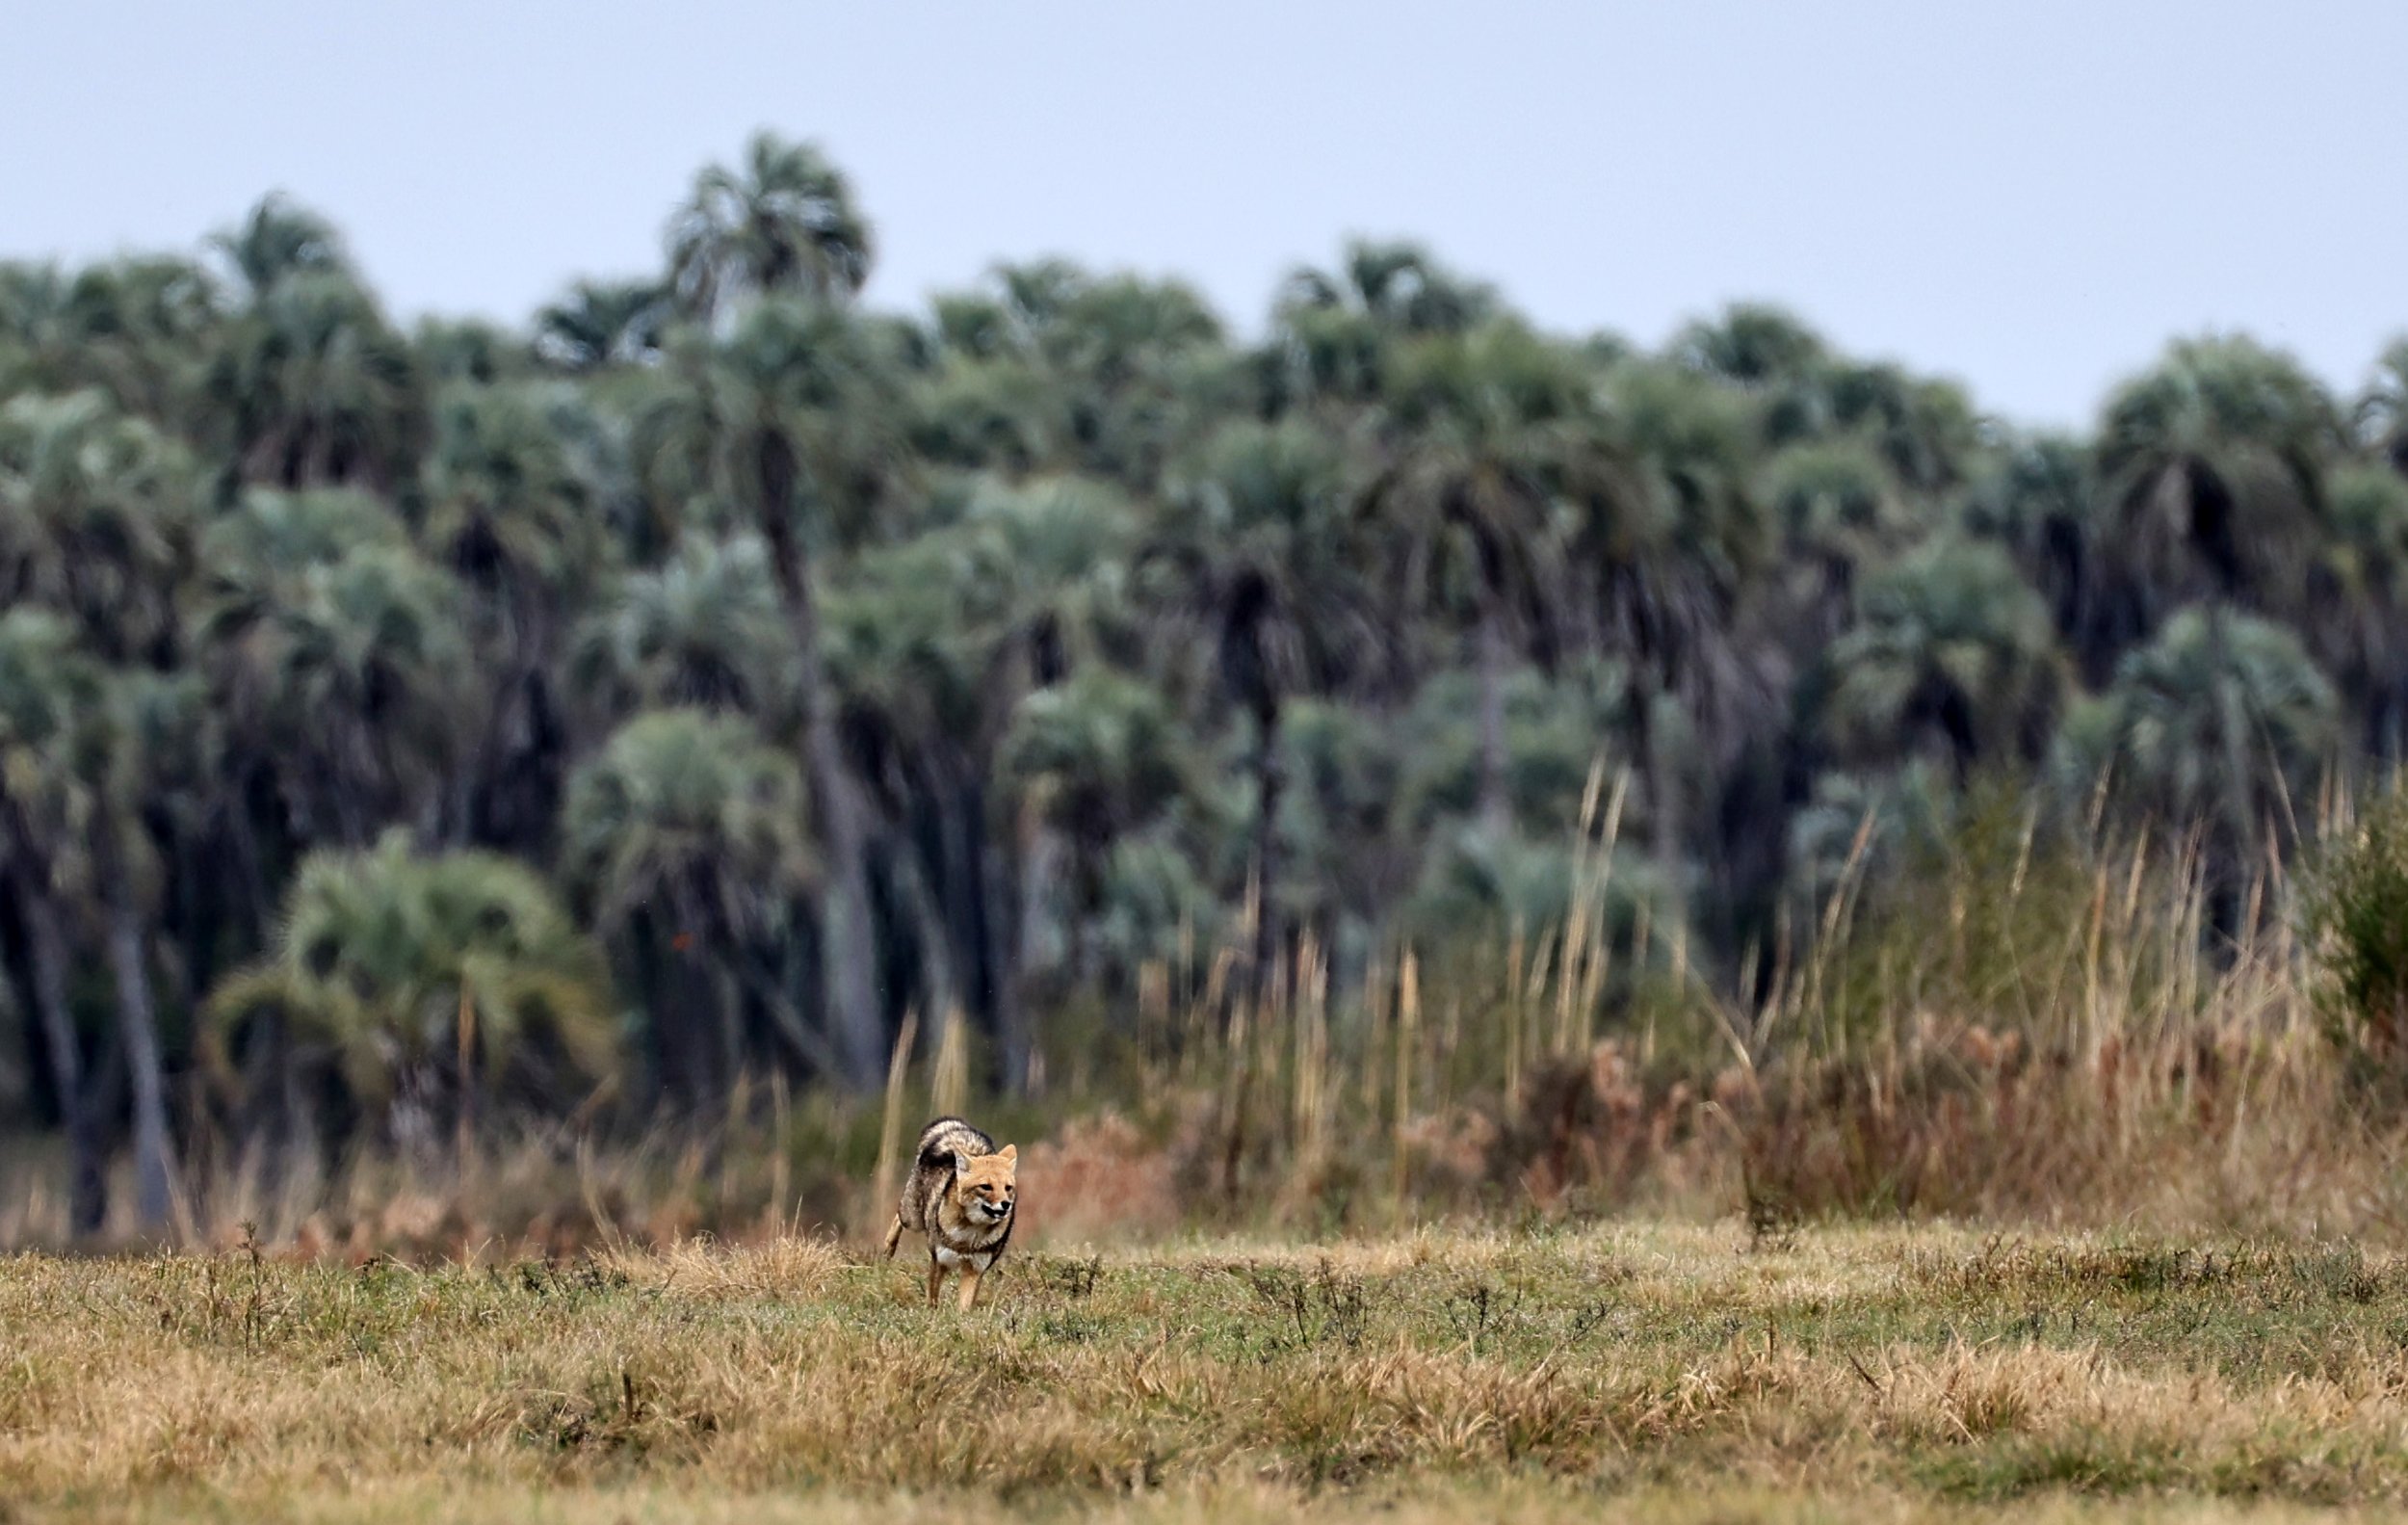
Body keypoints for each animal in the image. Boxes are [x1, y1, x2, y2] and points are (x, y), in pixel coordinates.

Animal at [882, 1116, 1018, 1309]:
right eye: (986, 1187)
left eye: (1008, 1188)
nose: (1006, 1205)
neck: (970, 1235)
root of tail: (954, 1129)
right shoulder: (939, 1261)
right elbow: (932, 1298)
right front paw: (932, 1313)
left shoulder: (974, 1270)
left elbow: (964, 1307)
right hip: (912, 1219)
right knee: (898, 1219)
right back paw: (888, 1248)